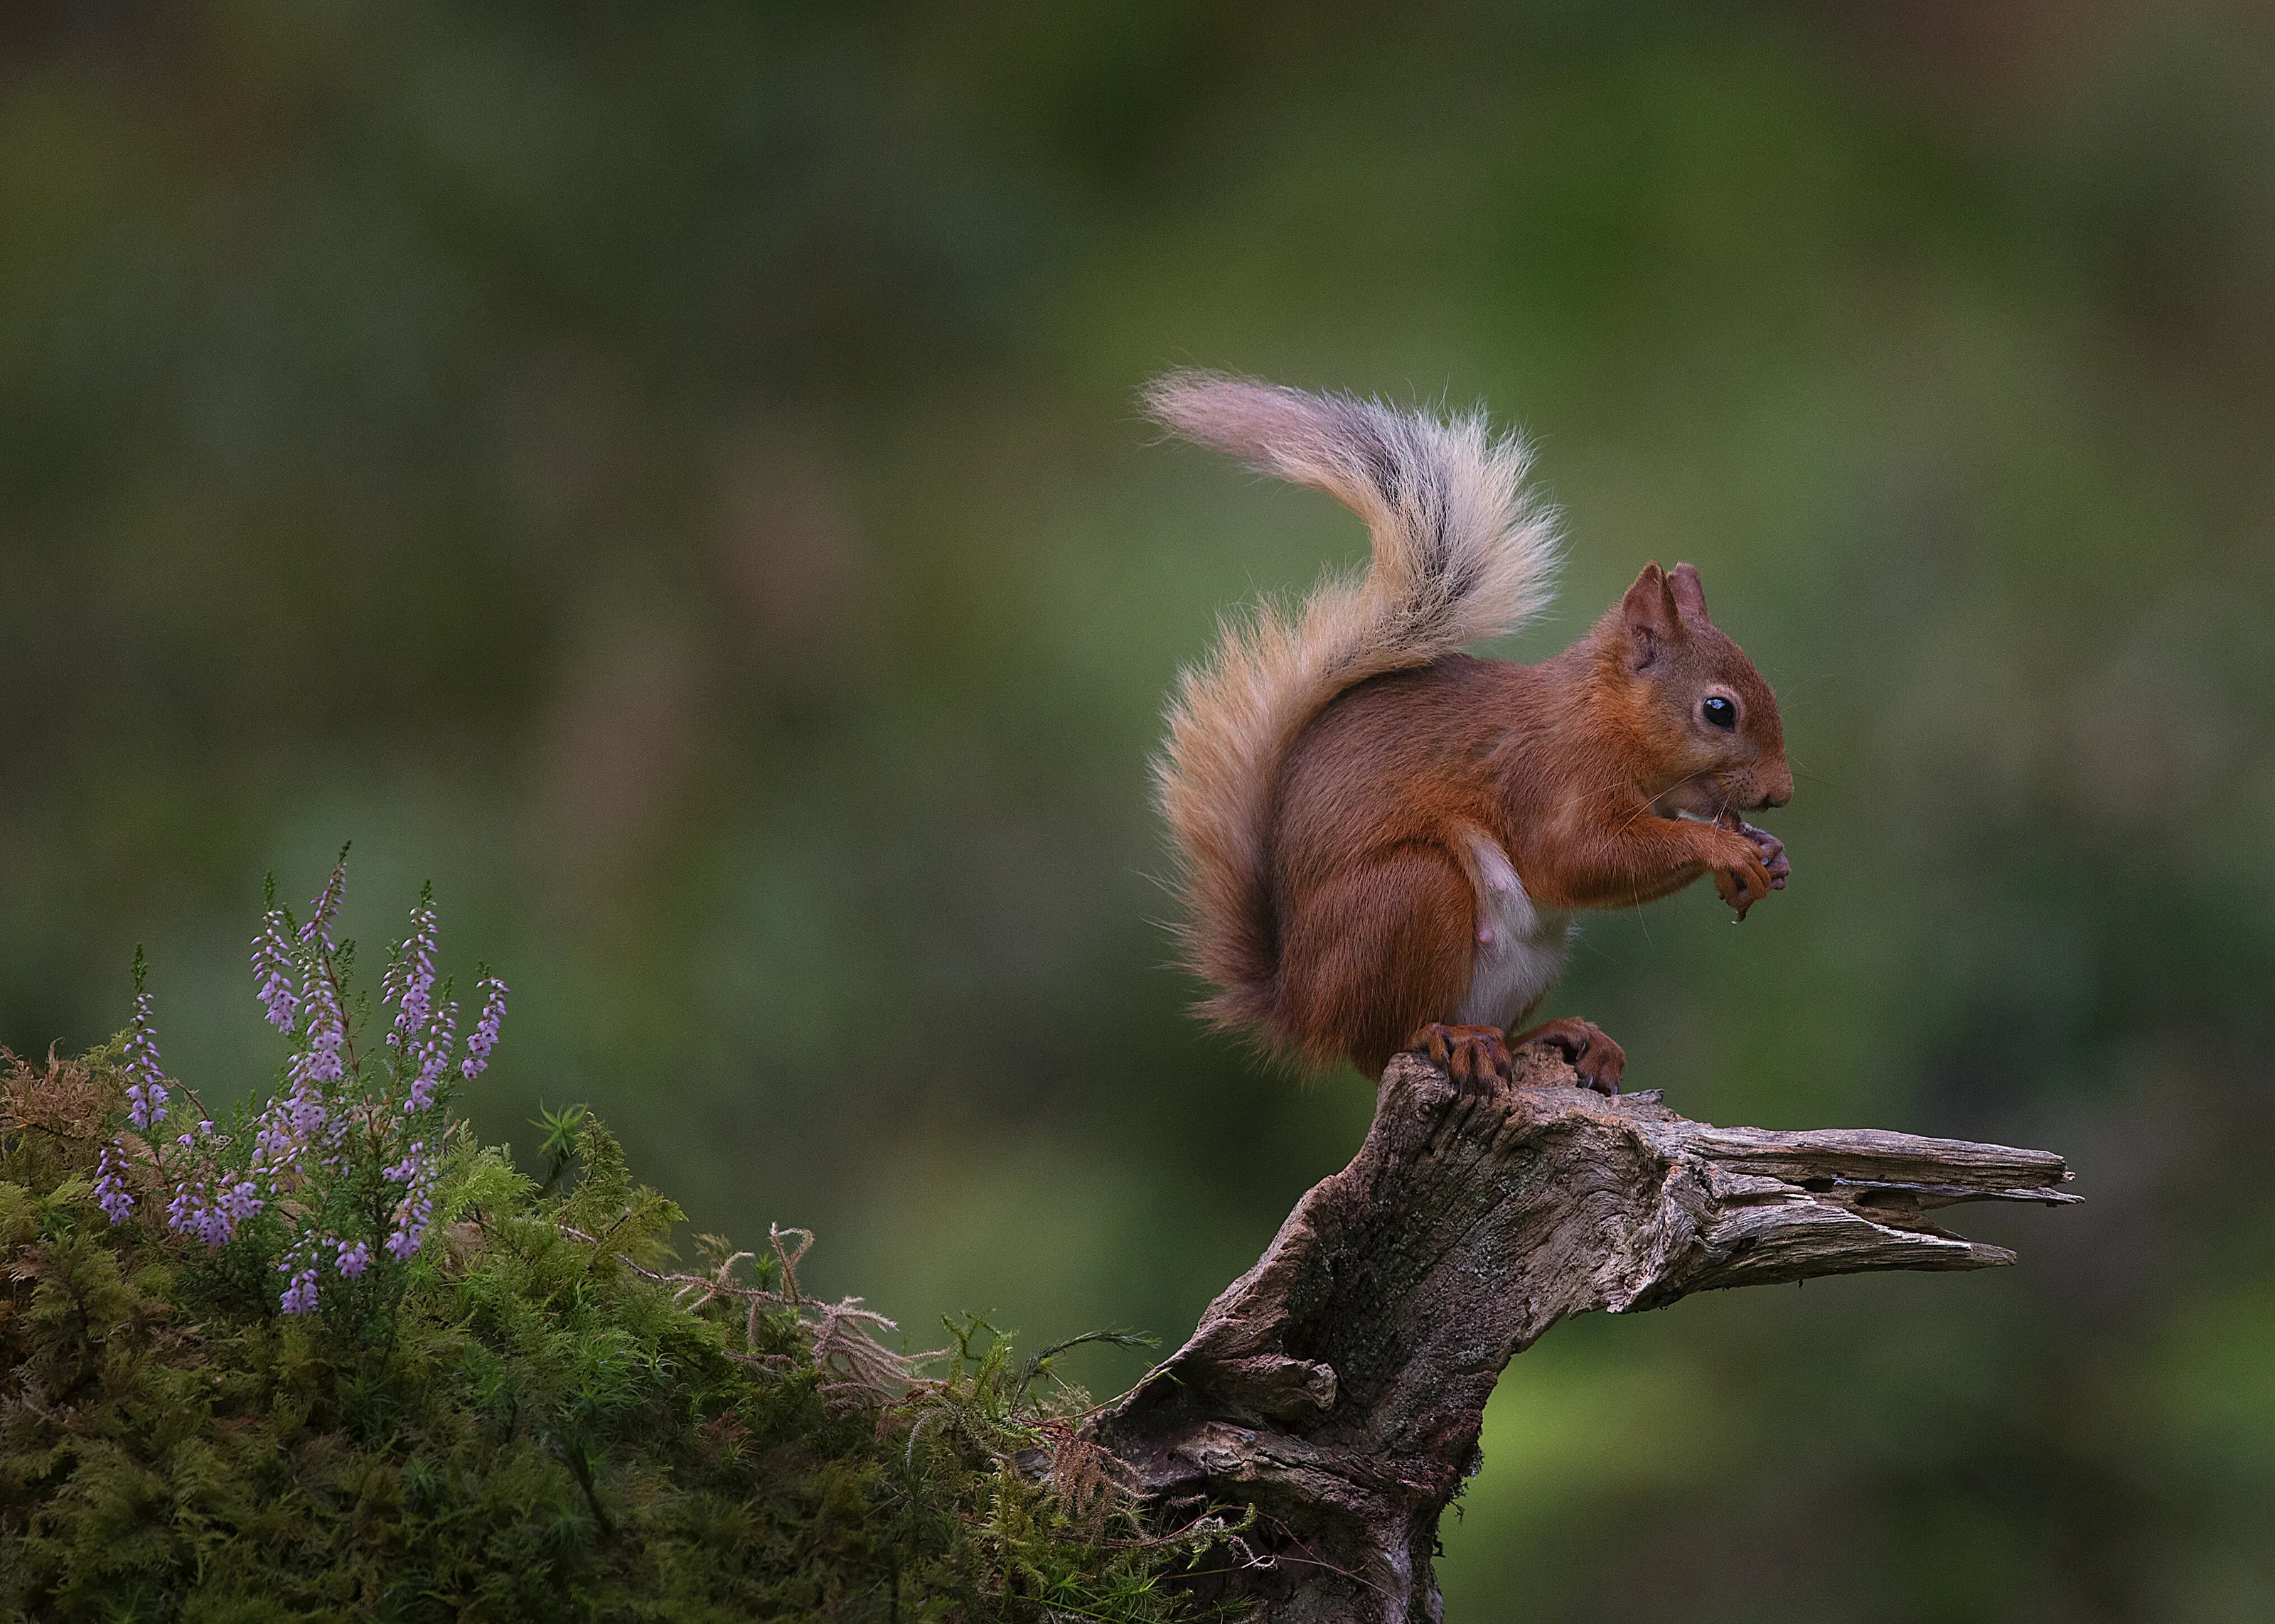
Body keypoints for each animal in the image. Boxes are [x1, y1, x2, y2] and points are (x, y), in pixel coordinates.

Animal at [1146, 372, 1792, 1094]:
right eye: (1719, 710)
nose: (1782, 792)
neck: (1600, 719)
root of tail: (1297, 1006)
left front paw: (1769, 851)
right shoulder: (1549, 777)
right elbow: (1577, 857)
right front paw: (1723, 847)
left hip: (1528, 959)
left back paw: (1558, 1035)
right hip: (1412, 895)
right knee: (1381, 1045)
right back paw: (1448, 1036)